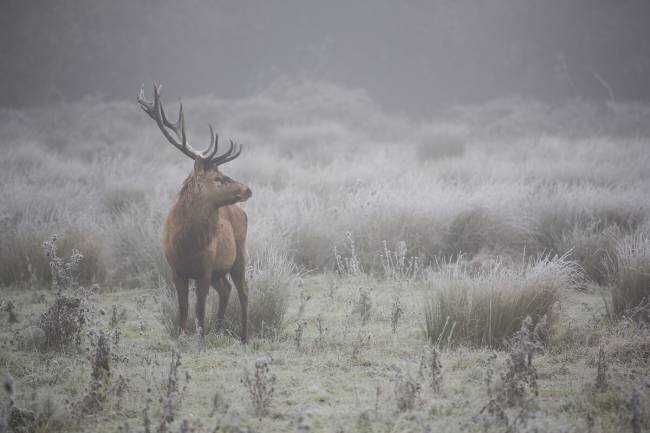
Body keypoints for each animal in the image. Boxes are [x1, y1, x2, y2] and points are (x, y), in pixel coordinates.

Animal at [138, 83, 252, 342]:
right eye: (217, 178)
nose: (247, 189)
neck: (187, 243)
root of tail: (242, 213)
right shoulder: (176, 270)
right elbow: (183, 308)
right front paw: (182, 339)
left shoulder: (205, 268)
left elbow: (199, 308)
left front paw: (200, 340)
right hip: (221, 270)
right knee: (227, 290)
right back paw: (219, 330)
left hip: (238, 254)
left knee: (243, 291)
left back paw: (243, 337)